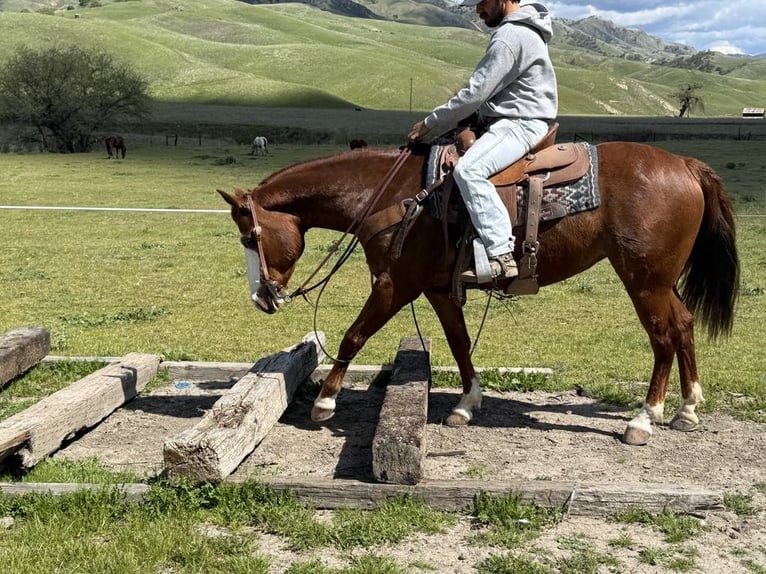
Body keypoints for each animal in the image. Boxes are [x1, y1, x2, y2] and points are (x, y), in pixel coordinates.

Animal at [218, 142, 739, 446]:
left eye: (248, 236)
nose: (261, 297)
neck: (390, 197)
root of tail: (686, 165)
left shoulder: (394, 284)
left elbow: (353, 335)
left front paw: (325, 403)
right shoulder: (436, 289)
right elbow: (459, 343)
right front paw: (467, 404)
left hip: (644, 281)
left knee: (662, 337)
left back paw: (644, 420)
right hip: (662, 282)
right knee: (684, 325)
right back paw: (688, 409)